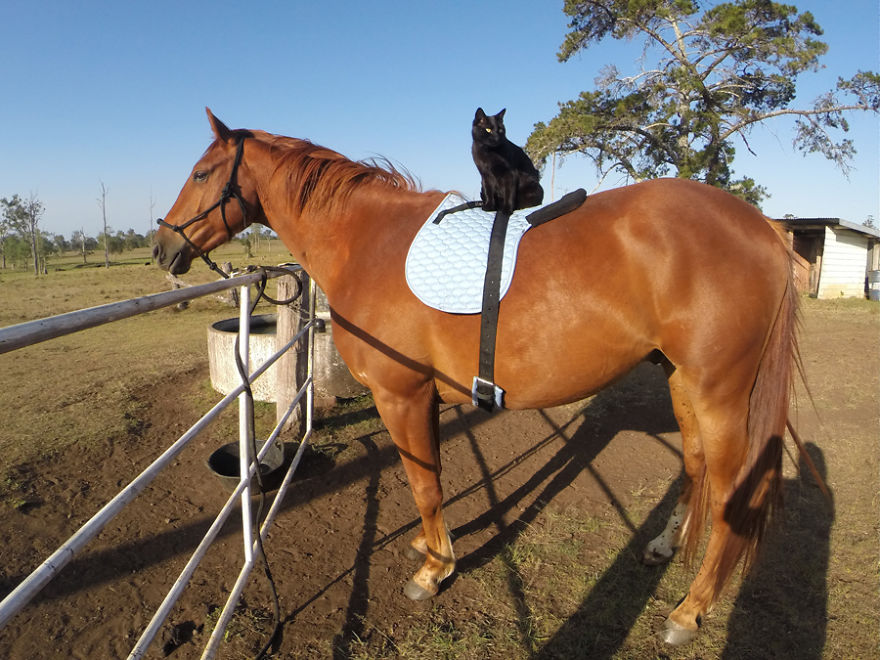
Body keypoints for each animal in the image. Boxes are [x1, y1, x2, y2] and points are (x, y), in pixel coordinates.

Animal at [153, 108, 802, 645]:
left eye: (202, 172)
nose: (162, 246)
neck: (367, 242)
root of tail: (763, 226)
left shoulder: (401, 397)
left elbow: (424, 484)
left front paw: (433, 570)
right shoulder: (426, 401)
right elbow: (433, 479)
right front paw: (433, 547)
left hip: (720, 394)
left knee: (732, 495)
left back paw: (689, 612)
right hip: (680, 381)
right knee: (696, 467)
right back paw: (666, 545)